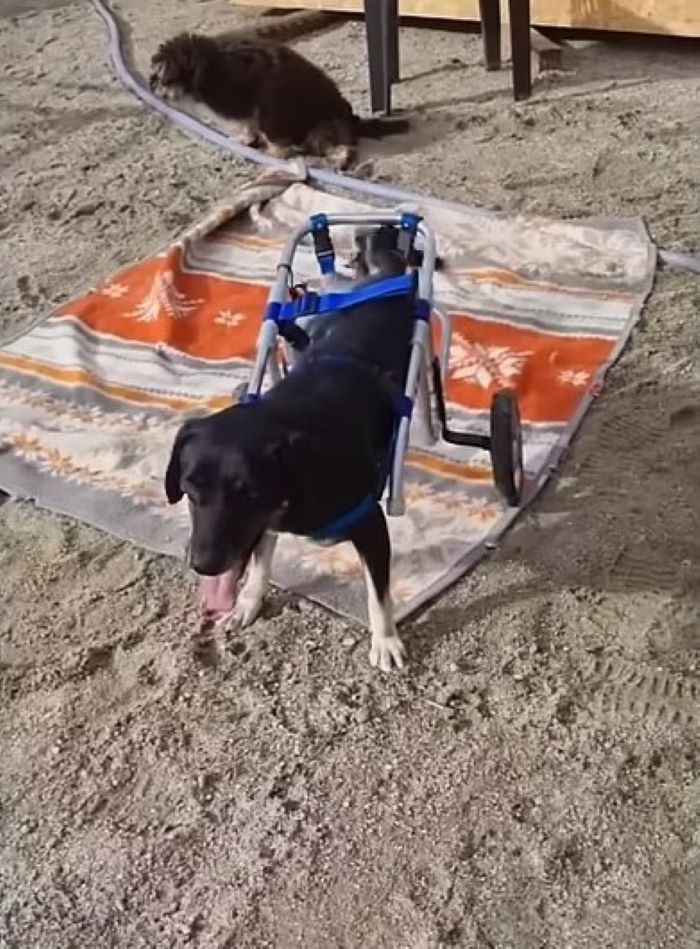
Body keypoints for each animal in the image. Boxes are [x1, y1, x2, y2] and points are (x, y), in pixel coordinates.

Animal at [149, 32, 410, 170]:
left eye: (161, 78)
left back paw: (336, 158)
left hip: (327, 124)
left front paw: (274, 156)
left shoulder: (269, 107)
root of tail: (353, 122)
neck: (214, 68)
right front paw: (245, 140)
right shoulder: (249, 110)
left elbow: (273, 137)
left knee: (343, 144)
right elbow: (249, 125)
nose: (151, 87)